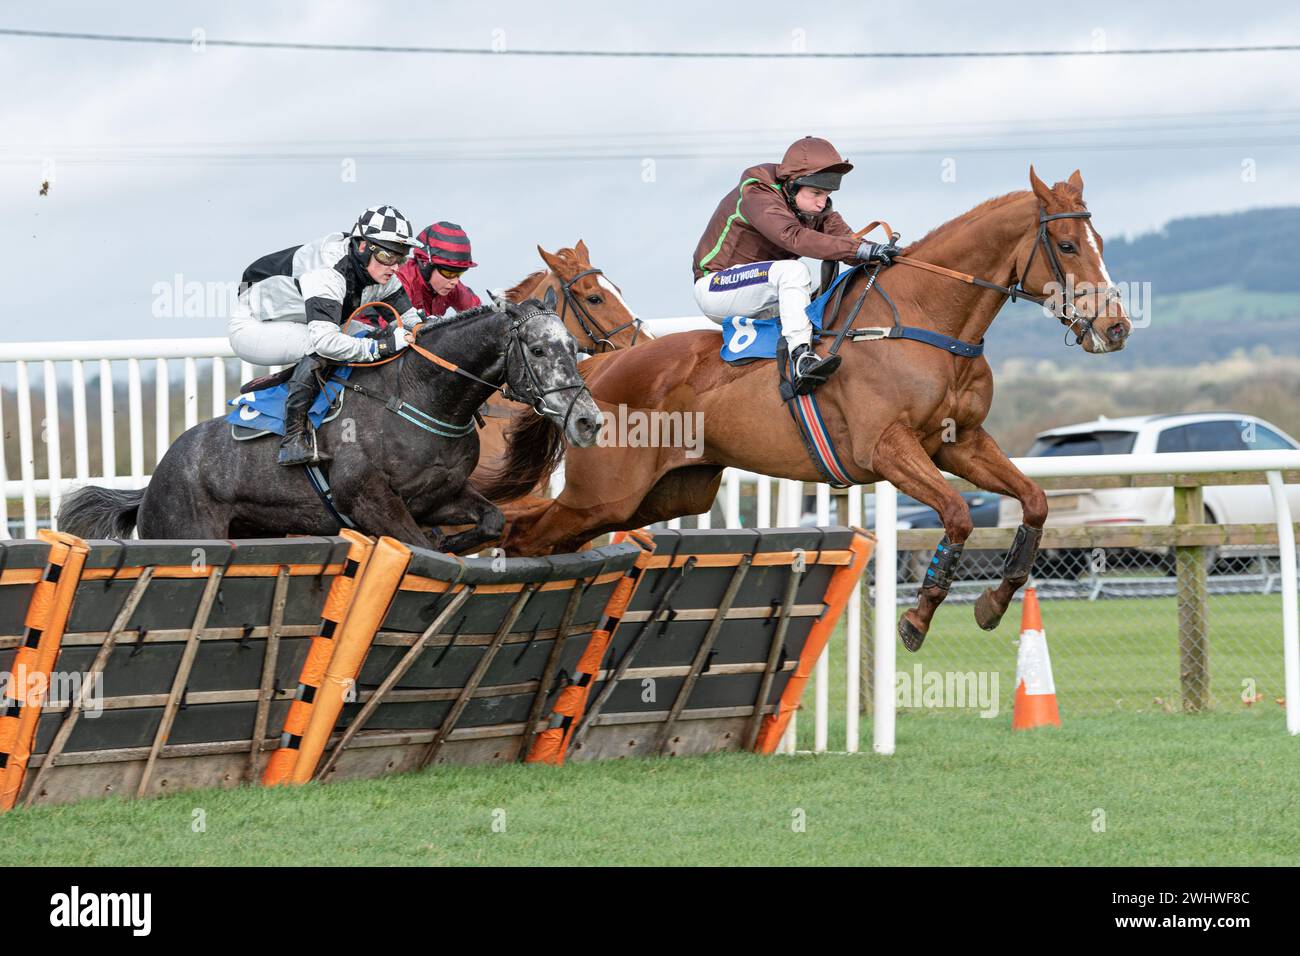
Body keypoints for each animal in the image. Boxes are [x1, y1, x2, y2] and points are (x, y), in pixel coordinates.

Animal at [483, 170, 1133, 650]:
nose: (1116, 327)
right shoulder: (888, 449)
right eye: (1067, 245)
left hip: (662, 495)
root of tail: (598, 370)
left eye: (1100, 245)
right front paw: (917, 618)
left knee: (548, 541)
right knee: (527, 536)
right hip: (605, 493)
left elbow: (1035, 501)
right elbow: (956, 515)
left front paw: (995, 602)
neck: (924, 322)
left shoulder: (960, 441)